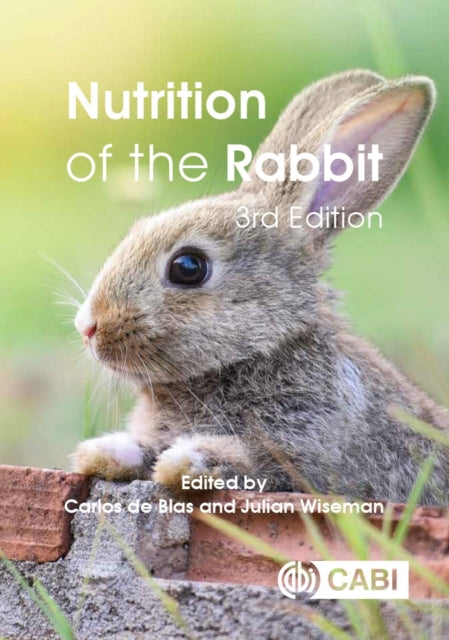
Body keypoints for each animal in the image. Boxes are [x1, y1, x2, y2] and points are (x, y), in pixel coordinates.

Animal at [72, 69, 449, 505]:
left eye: (188, 267)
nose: (88, 327)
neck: (260, 351)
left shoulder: (301, 450)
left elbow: (249, 460)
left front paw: (187, 460)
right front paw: (103, 451)